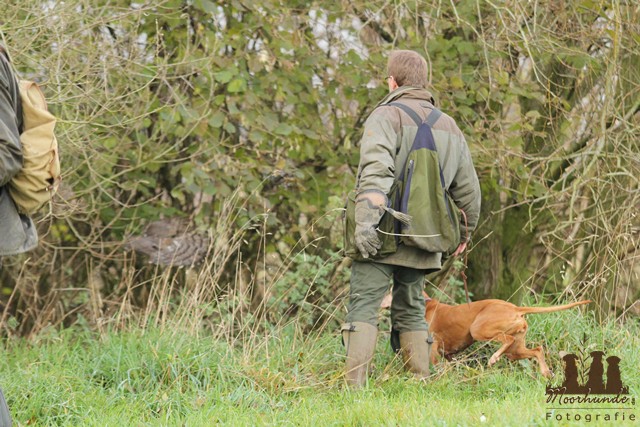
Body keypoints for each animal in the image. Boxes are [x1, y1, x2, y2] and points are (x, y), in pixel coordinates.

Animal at [382, 293, 590, 377]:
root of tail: (514, 307)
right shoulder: (448, 355)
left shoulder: (433, 349)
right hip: (515, 350)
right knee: (537, 350)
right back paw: (546, 372)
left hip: (479, 329)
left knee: (507, 339)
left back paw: (494, 357)